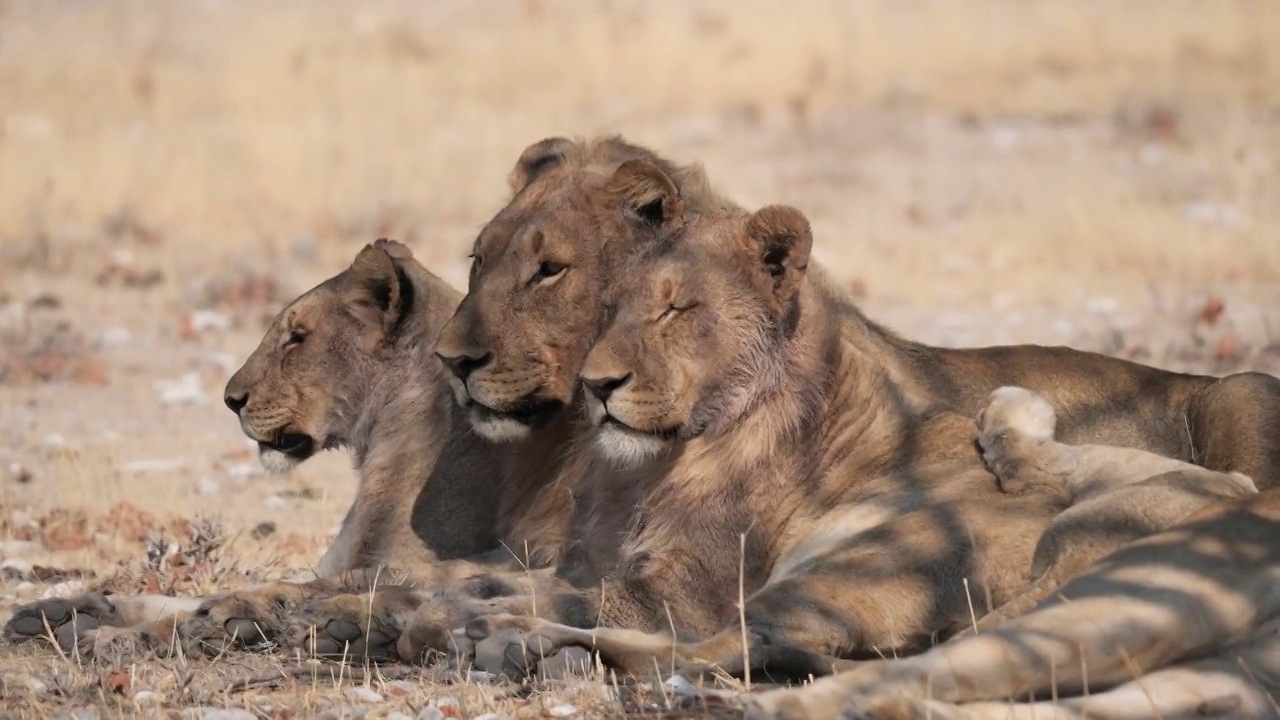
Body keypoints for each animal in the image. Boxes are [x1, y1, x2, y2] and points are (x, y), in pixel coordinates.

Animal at [0, 239, 570, 655]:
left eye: (297, 338)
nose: (230, 399)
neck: (383, 437)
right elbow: (191, 597)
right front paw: (68, 611)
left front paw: (119, 635)